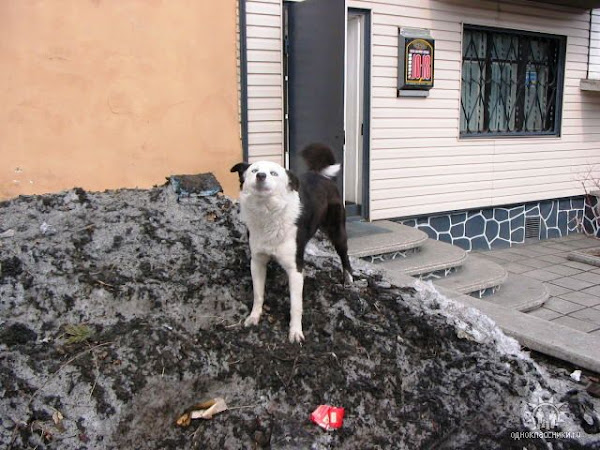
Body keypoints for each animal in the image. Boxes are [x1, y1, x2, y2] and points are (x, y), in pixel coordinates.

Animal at [230, 144, 352, 344]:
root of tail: (320, 176)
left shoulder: (294, 268)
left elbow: (296, 305)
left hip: (337, 231)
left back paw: (349, 279)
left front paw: (295, 332)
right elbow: (258, 293)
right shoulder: (257, 262)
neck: (268, 213)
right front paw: (254, 317)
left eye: (273, 173)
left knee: (344, 255)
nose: (260, 176)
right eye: (254, 170)